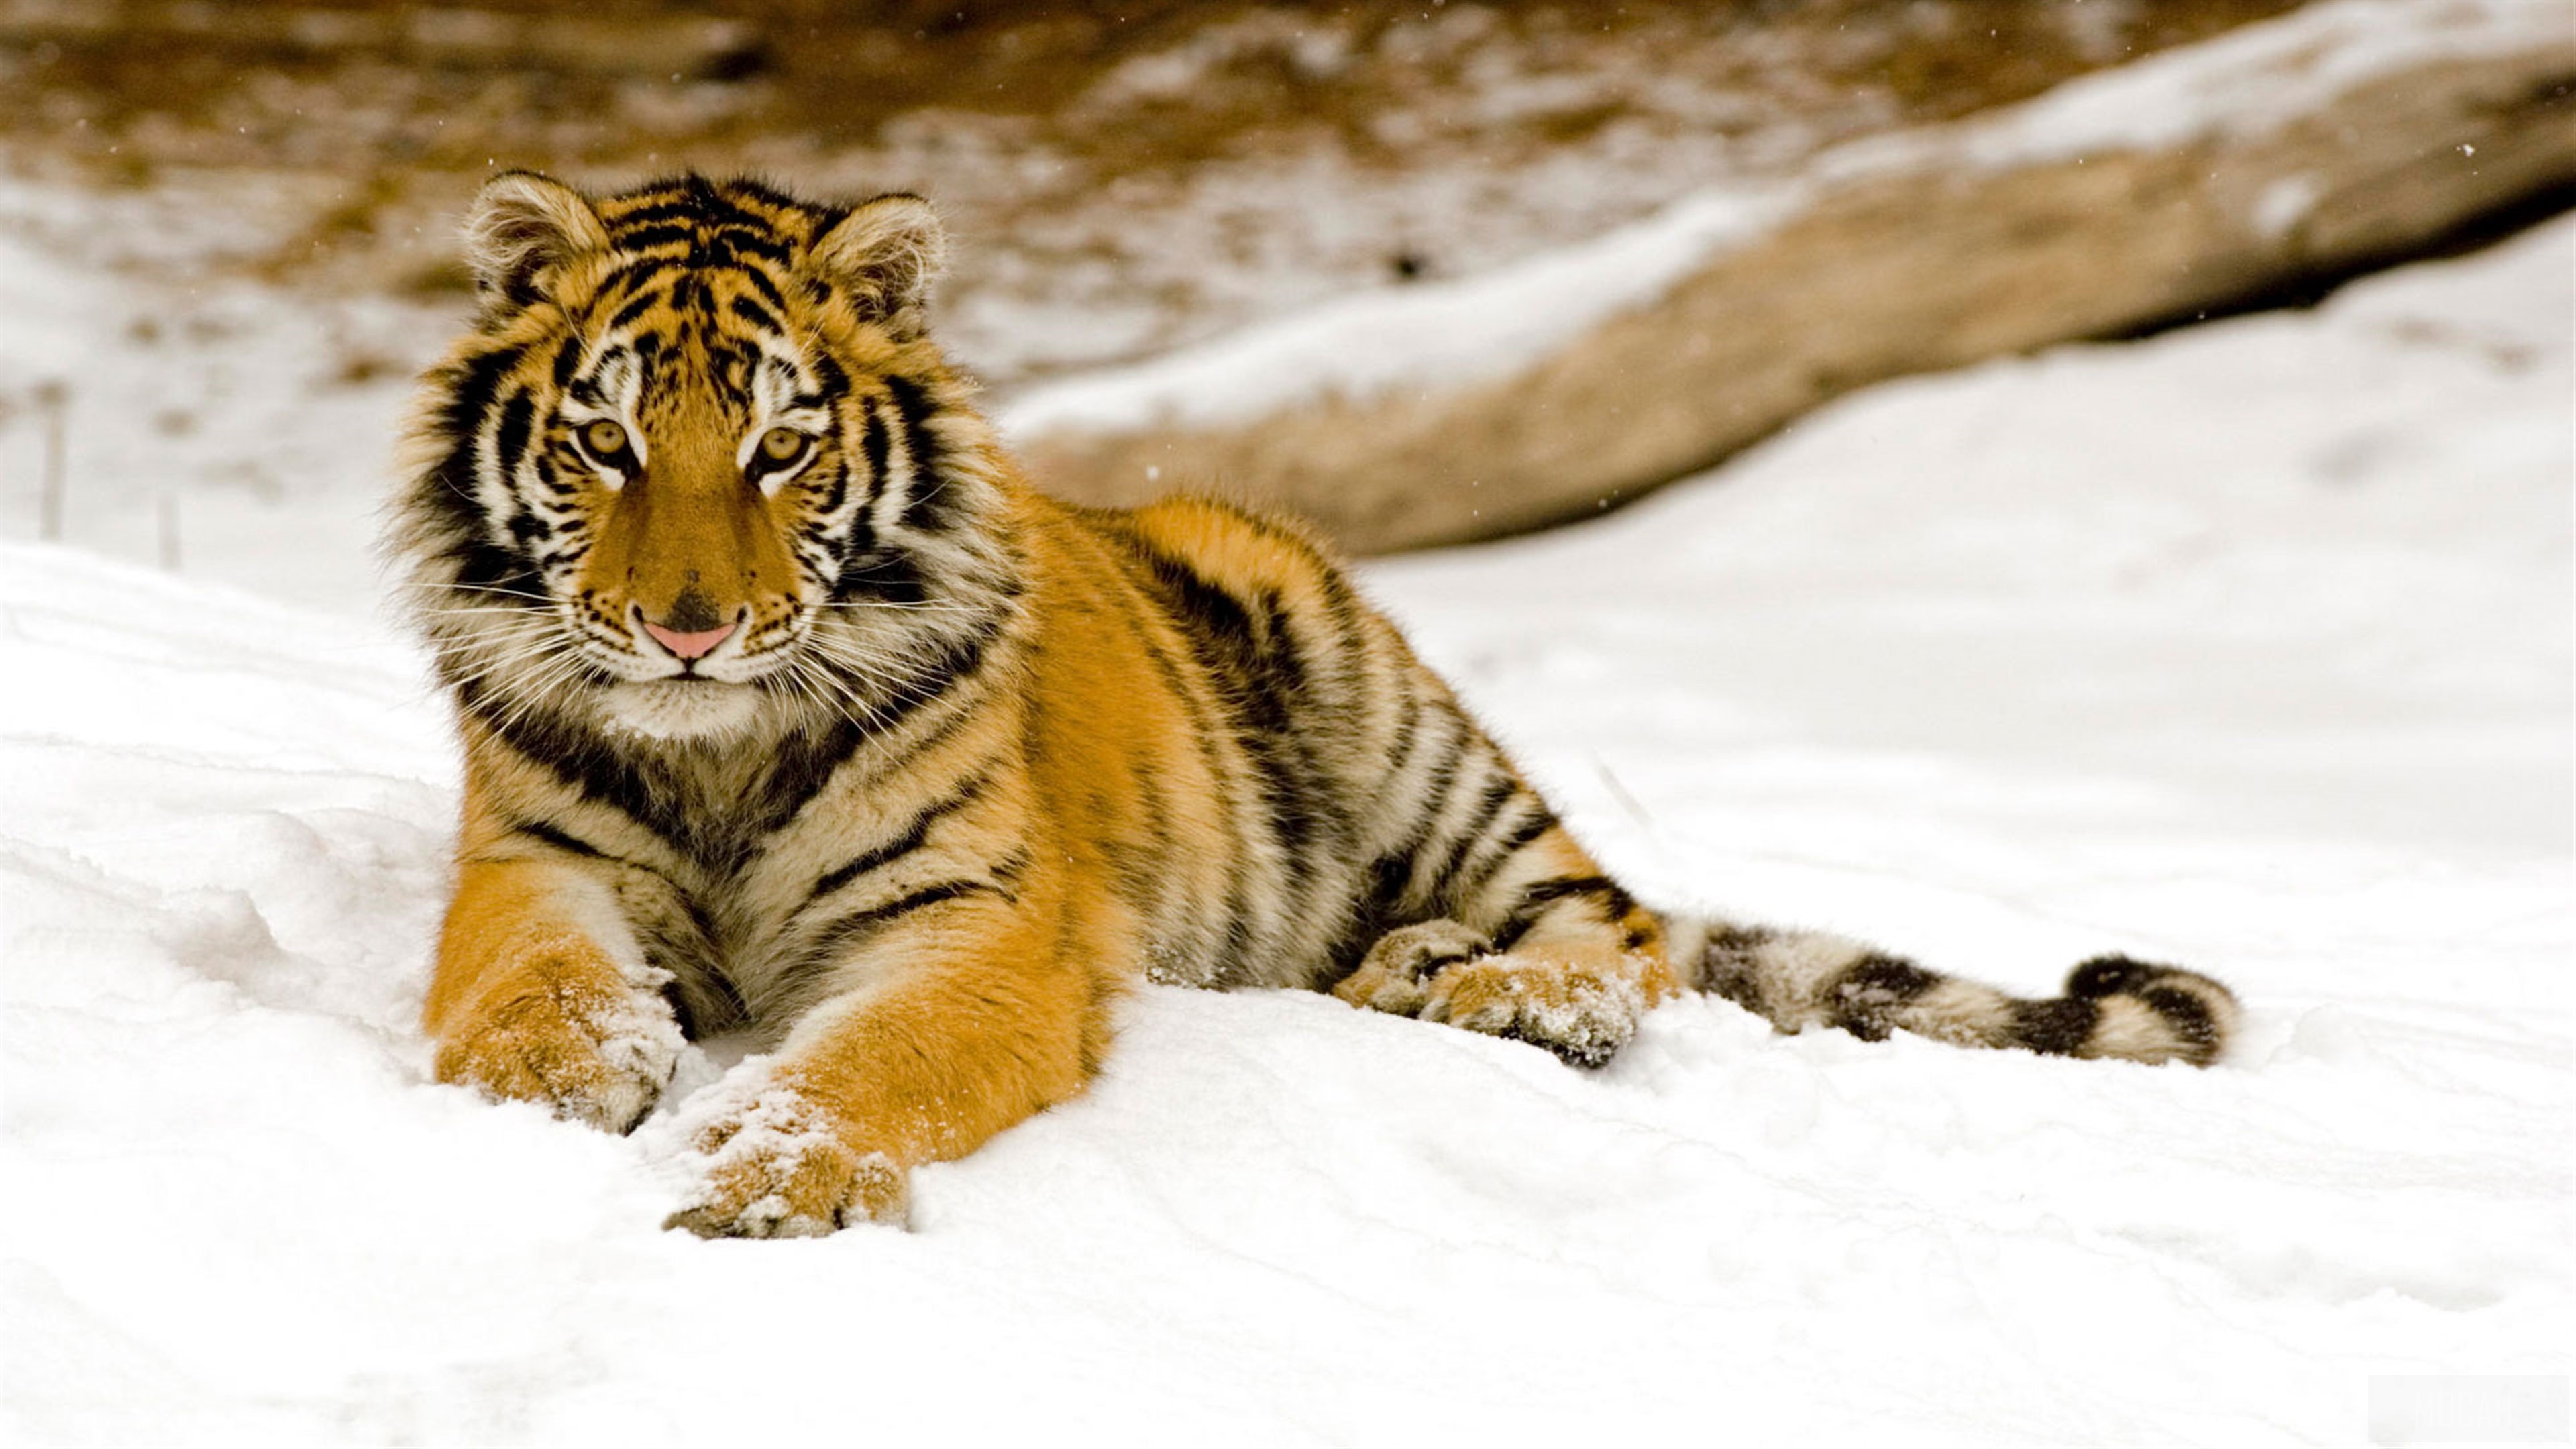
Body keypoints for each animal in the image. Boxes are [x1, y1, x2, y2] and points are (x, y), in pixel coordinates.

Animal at [392, 171, 2239, 1238]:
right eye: (605, 443)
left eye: (782, 447)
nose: (688, 631)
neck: (718, 749)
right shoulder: (535, 863)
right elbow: (527, 988)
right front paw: (549, 1095)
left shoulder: (981, 924)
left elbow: (873, 1060)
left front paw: (766, 1173)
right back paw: (1409, 969)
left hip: (1387, 702)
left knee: (1622, 932)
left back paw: (1498, 991)